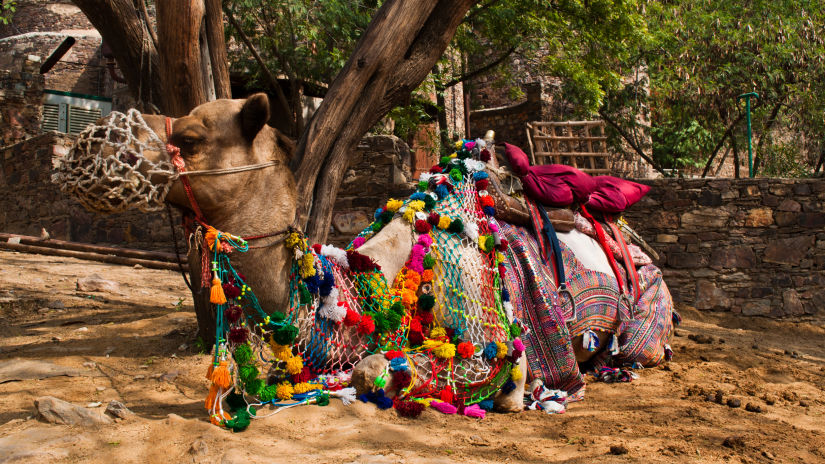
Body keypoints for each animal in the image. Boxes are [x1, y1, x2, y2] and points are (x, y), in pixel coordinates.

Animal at [56, 94, 676, 424]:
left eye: (189, 135)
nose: (89, 147)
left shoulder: (485, 340)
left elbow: (379, 369)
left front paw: (513, 395)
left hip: (645, 321)